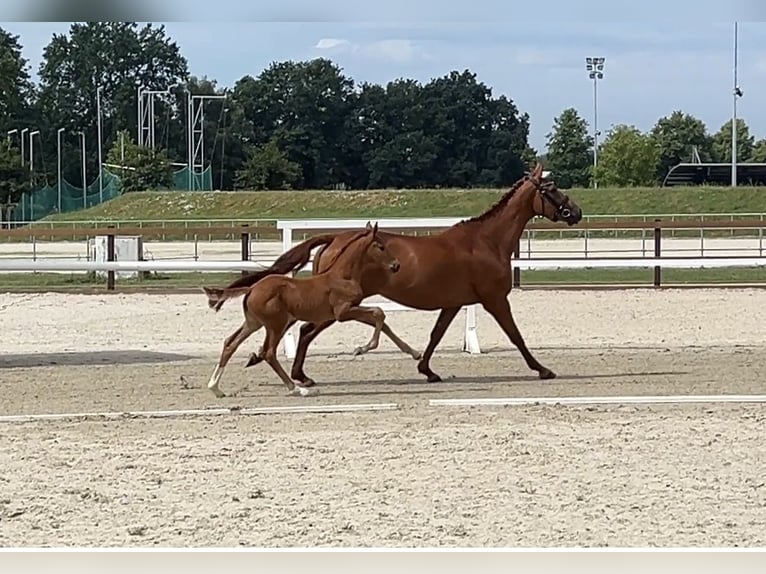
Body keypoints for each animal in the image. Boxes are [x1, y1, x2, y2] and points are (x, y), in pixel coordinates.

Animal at [201, 222, 400, 398]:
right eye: (381, 246)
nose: (396, 265)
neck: (342, 276)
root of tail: (251, 289)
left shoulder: (345, 311)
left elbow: (378, 314)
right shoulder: (342, 313)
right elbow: (379, 312)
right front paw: (363, 348)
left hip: (254, 323)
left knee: (230, 343)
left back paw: (215, 388)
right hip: (276, 325)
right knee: (268, 352)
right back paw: (298, 389)